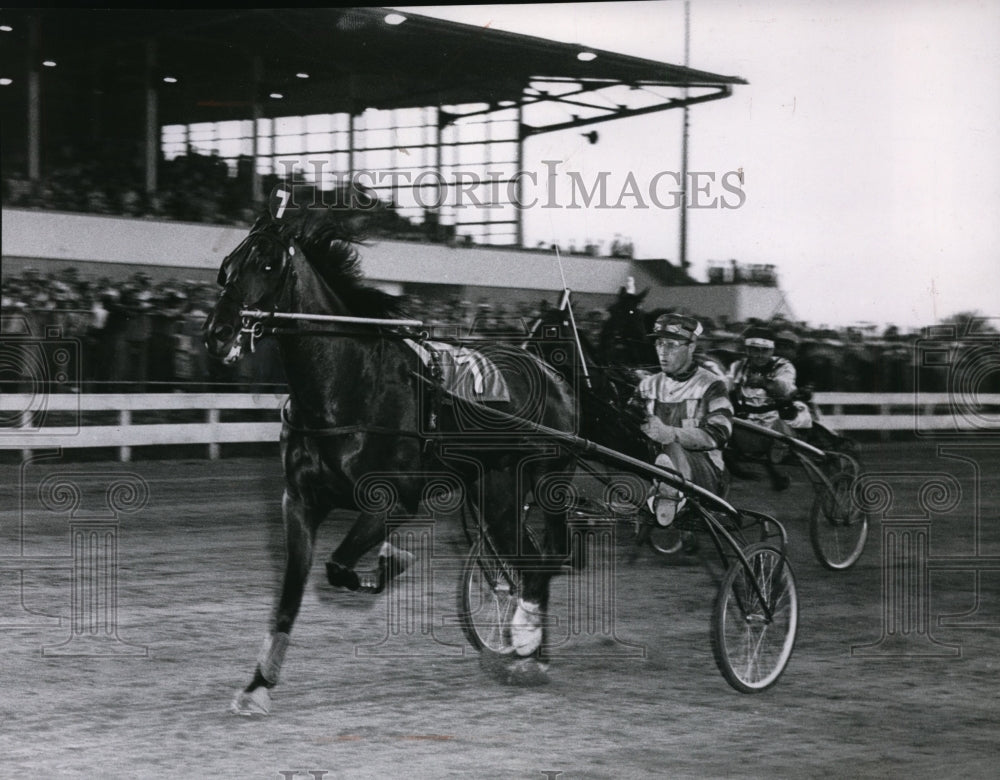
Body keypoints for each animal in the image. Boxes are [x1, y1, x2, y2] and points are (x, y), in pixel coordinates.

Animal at [204, 198, 580, 716]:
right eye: (228, 266)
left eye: (266, 264)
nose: (217, 334)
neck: (349, 387)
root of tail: (550, 372)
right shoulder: (298, 501)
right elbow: (292, 593)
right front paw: (259, 684)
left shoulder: (394, 501)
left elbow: (339, 566)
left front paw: (390, 563)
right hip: (495, 491)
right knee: (530, 565)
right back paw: (531, 651)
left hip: (528, 481)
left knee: (540, 563)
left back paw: (525, 639)